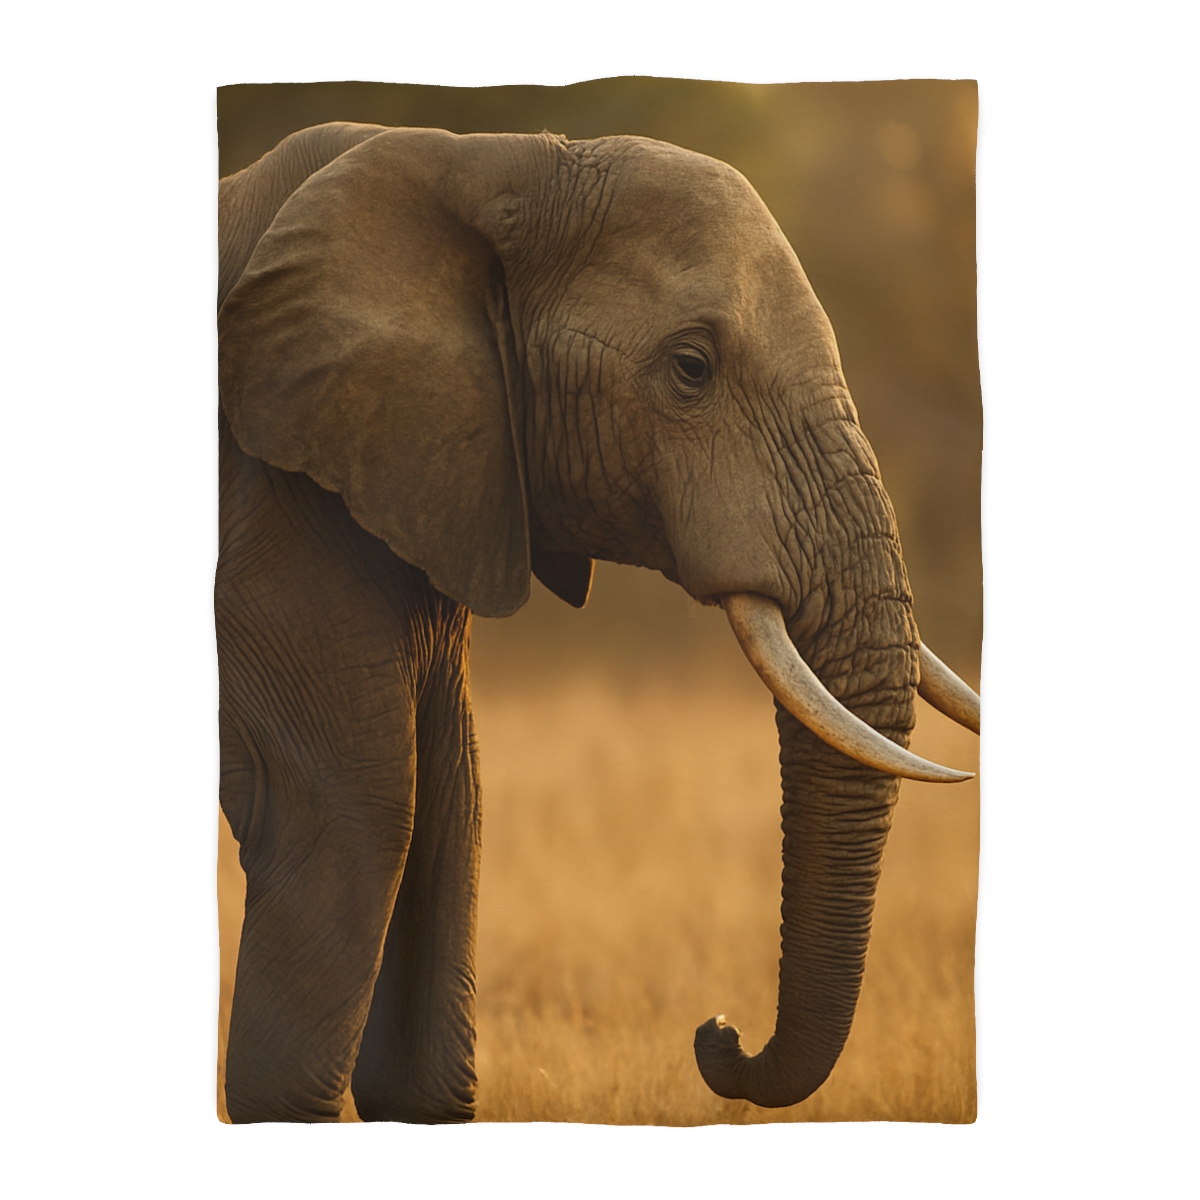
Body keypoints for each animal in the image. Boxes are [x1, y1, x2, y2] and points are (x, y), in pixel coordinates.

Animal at [216, 120, 980, 1124]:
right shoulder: (278, 517)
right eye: (692, 368)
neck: (479, 156)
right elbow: (357, 817)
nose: (718, 1031)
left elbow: (451, 811)